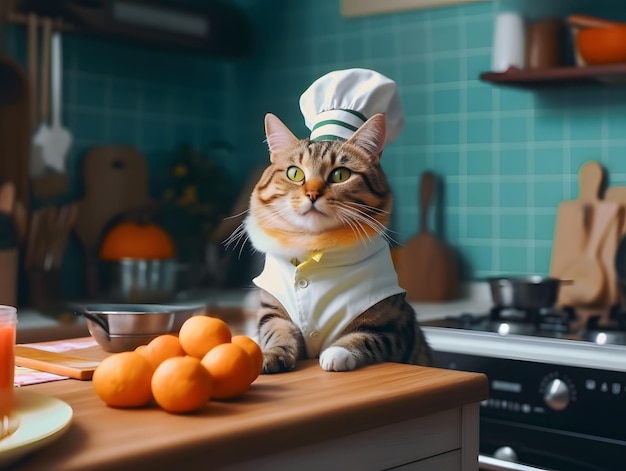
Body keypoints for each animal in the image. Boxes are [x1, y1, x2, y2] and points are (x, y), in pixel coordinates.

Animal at [234, 112, 428, 374]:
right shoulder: (273, 310)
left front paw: (338, 353)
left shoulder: (393, 324)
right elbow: (276, 332)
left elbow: (365, 337)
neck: (314, 248)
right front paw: (271, 354)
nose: (312, 194)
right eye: (294, 173)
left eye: (340, 175)